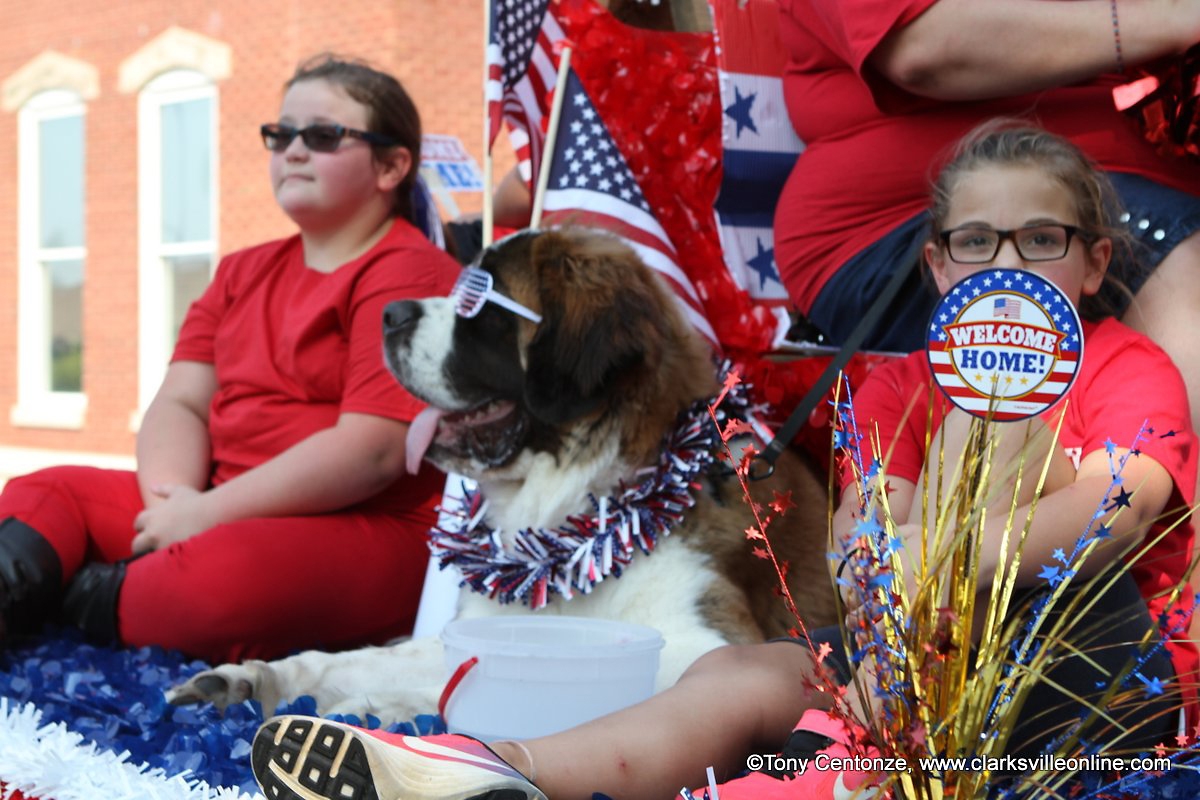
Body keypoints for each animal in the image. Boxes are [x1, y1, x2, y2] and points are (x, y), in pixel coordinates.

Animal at [166, 227, 838, 721]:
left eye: (481, 307)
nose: (388, 312)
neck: (580, 529)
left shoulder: (716, 643)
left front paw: (381, 709)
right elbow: (354, 659)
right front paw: (250, 678)